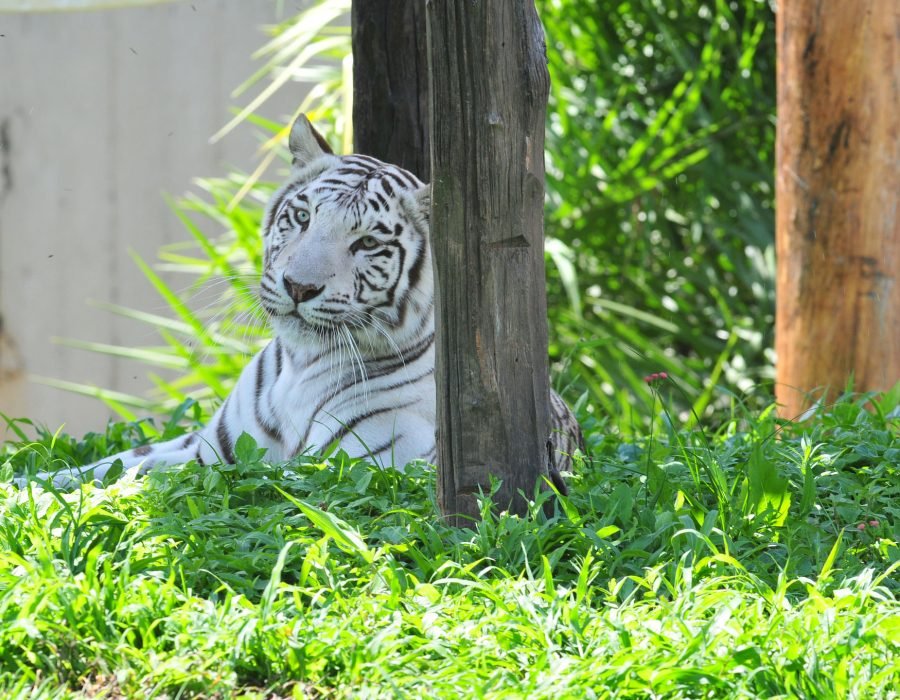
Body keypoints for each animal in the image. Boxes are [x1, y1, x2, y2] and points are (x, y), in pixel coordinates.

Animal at [22, 115, 584, 490]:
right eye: (303, 216)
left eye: (367, 243)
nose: (298, 287)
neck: (300, 365)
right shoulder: (210, 448)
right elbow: (114, 465)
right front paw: (31, 485)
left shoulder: (350, 465)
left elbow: (147, 482)